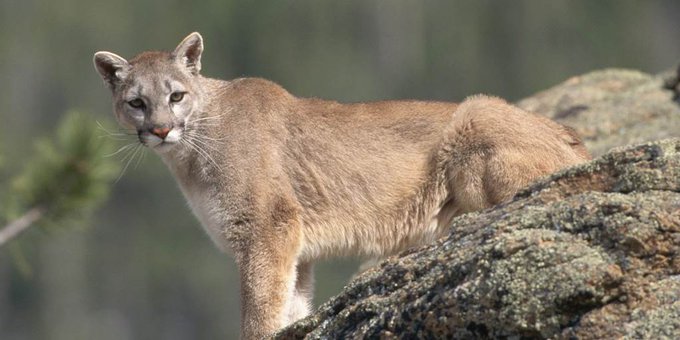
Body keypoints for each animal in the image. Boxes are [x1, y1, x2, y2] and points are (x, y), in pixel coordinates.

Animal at [94, 32, 588, 340]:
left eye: (176, 95)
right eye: (136, 103)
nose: (160, 130)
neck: (191, 151)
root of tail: (574, 139)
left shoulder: (266, 229)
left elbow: (260, 307)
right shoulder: (293, 248)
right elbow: (291, 306)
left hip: (474, 115)